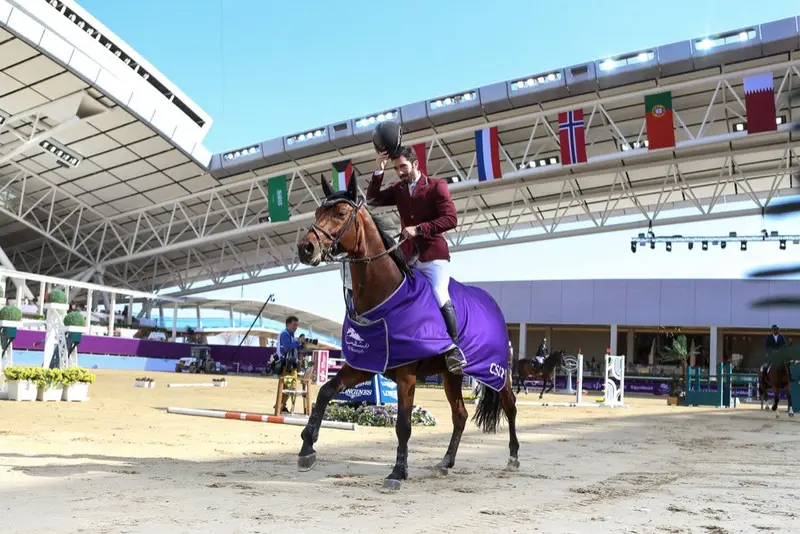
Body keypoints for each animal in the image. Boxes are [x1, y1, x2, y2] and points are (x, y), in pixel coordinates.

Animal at [294, 176, 520, 494]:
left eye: (340, 213)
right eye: (316, 213)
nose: (306, 248)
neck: (385, 297)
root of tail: (494, 308)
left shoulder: (406, 375)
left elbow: (403, 425)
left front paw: (397, 473)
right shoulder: (365, 364)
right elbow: (325, 392)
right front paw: (307, 449)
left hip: (497, 372)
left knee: (509, 407)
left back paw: (513, 457)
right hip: (451, 375)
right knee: (460, 415)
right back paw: (445, 462)